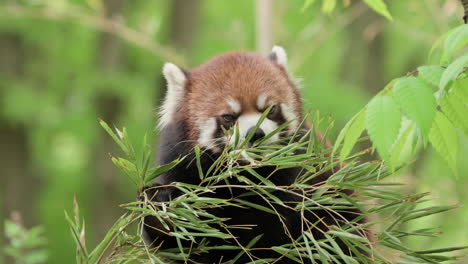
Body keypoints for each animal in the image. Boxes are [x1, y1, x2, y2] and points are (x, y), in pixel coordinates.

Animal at [143, 46, 366, 262]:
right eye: (228, 117)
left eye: (270, 109)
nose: (256, 133)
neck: (247, 176)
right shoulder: (183, 170)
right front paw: (159, 211)